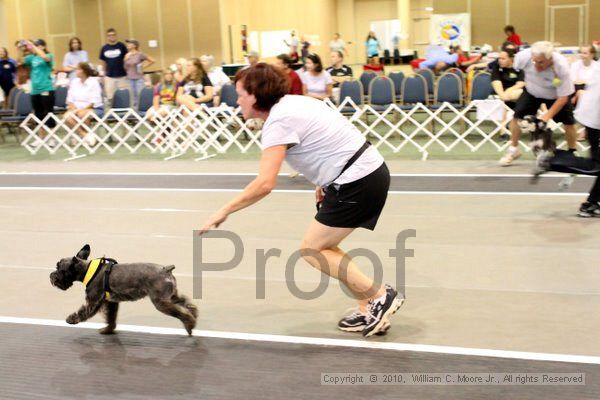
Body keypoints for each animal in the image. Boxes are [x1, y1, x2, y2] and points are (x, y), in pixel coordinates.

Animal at [51, 244, 197, 334]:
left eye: (60, 269)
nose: (51, 277)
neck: (87, 270)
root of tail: (165, 269)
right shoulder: (111, 302)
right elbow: (111, 318)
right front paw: (108, 330)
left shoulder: (93, 302)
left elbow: (83, 312)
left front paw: (71, 319)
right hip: (171, 296)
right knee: (187, 303)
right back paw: (194, 316)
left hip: (161, 302)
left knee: (181, 313)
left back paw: (189, 325)